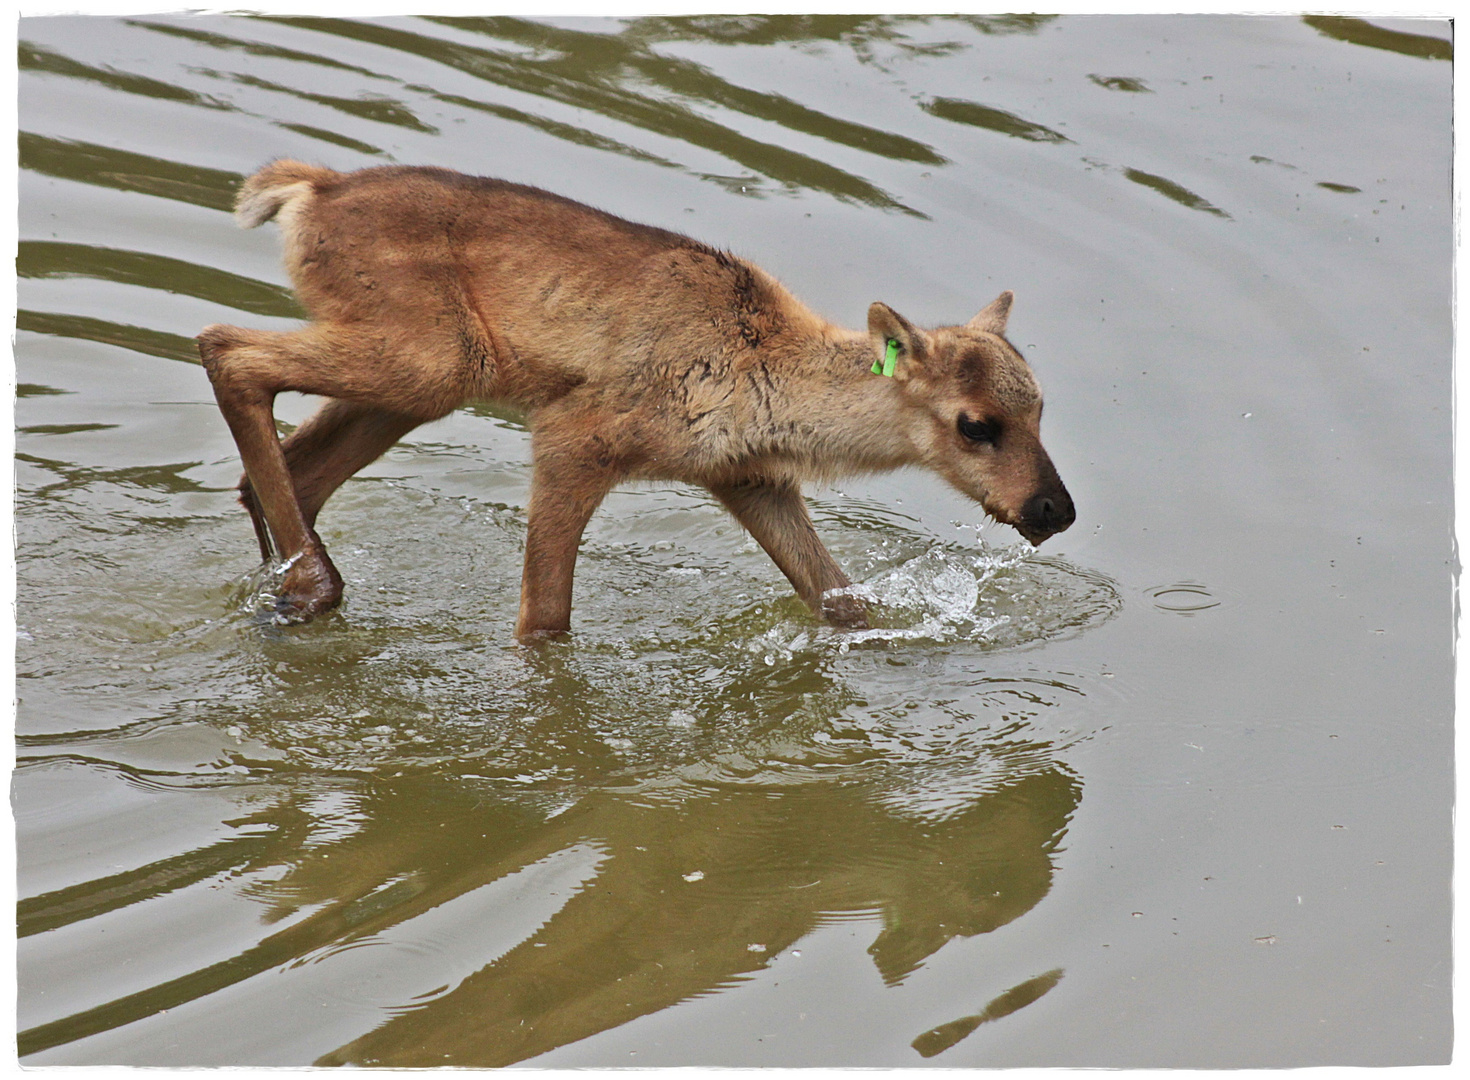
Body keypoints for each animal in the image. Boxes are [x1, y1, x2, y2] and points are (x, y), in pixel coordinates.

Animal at [195, 163, 1076, 637]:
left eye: (1042, 408)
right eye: (976, 425)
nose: (1053, 509)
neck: (767, 373)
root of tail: (309, 190)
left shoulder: (752, 480)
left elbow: (841, 601)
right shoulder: (572, 440)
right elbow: (543, 618)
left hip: (420, 384)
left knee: (289, 470)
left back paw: (292, 587)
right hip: (428, 361)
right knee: (225, 347)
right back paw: (311, 587)